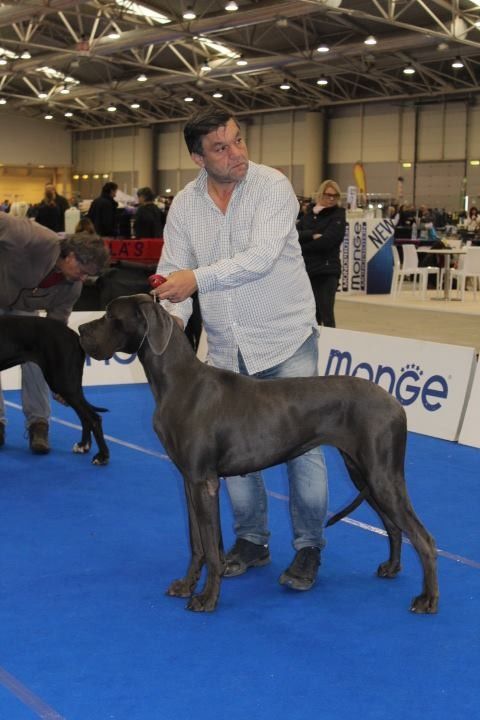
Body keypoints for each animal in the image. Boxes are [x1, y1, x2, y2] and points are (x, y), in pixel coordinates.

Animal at [0, 316, 109, 465]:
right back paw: (83, 445)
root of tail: (75, 336)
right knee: (84, 416)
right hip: (69, 385)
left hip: (63, 383)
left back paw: (102, 455)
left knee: (94, 418)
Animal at [78, 294, 438, 613]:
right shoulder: (189, 481)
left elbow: (211, 548)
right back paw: (391, 568)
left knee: (424, 538)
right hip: (362, 472)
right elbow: (197, 543)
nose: (80, 329)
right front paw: (186, 585)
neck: (178, 382)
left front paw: (207, 598)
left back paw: (427, 600)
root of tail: (396, 403)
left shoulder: (204, 482)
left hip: (381, 476)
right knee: (394, 526)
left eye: (110, 315)